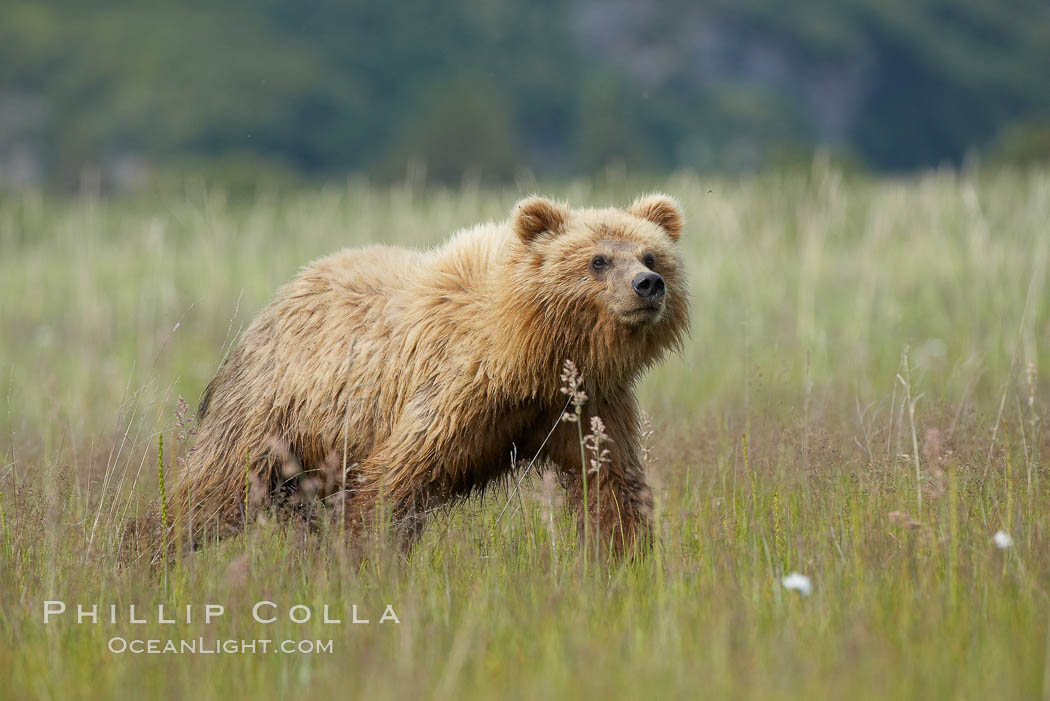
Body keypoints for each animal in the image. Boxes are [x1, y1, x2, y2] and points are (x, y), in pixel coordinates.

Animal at [165, 194, 688, 554]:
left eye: (650, 255)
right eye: (598, 260)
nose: (648, 285)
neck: (528, 352)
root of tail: (276, 301)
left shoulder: (584, 404)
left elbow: (609, 481)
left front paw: (625, 557)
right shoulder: (456, 392)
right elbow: (395, 482)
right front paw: (367, 558)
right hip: (274, 410)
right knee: (211, 489)